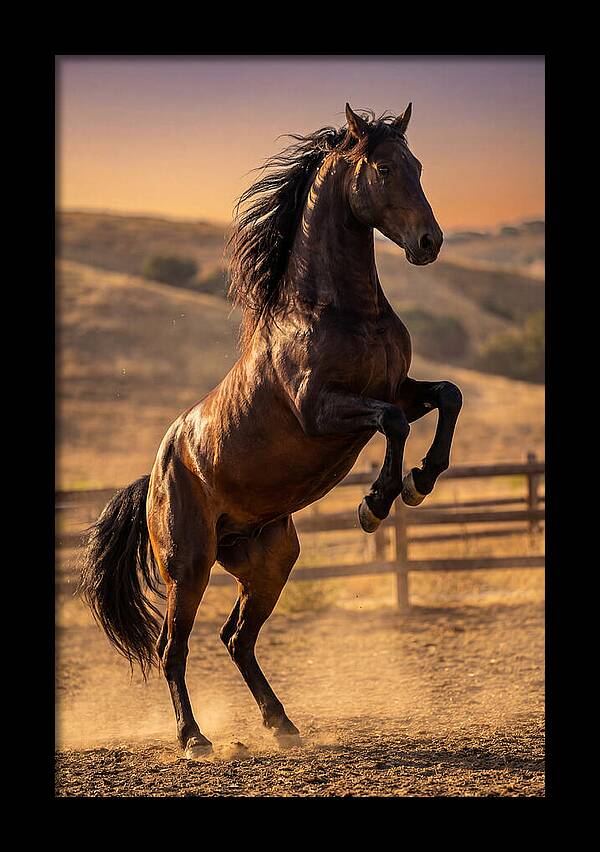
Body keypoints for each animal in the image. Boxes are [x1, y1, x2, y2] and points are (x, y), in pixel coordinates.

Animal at [78, 104, 462, 758]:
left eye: (418, 165)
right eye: (384, 168)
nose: (428, 243)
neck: (337, 311)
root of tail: (154, 476)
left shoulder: (398, 389)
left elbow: (447, 397)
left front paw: (421, 481)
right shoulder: (323, 410)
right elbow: (390, 425)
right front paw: (375, 503)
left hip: (269, 558)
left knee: (237, 638)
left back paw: (282, 725)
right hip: (190, 566)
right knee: (173, 649)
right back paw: (194, 739)